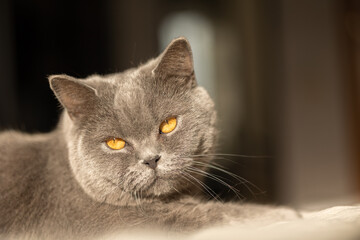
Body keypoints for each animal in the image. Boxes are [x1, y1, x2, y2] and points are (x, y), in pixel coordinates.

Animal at [0, 36, 298, 239]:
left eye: (168, 125)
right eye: (115, 143)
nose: (151, 159)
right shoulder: (127, 224)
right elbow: (214, 215)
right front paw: (288, 214)